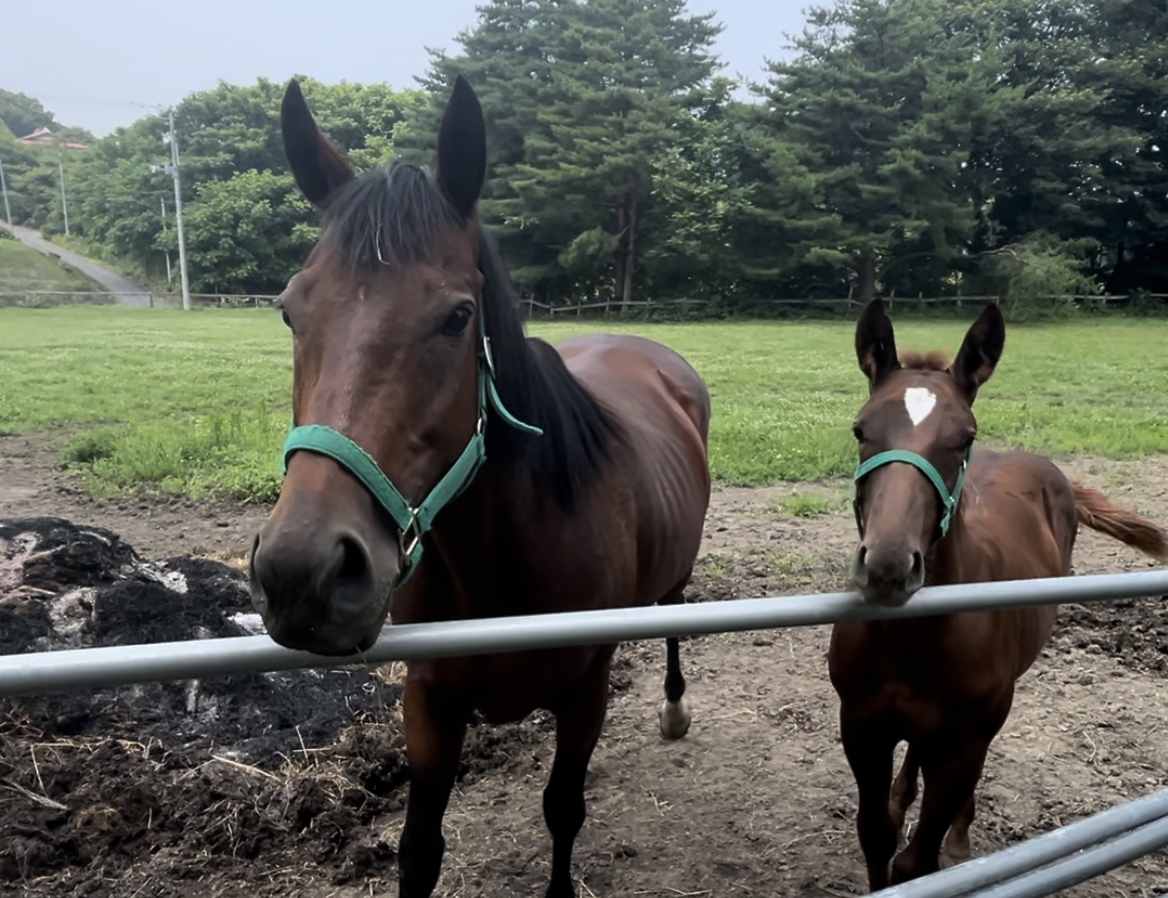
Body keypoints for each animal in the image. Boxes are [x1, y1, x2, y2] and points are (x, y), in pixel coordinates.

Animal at [248, 77, 710, 896]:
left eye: (458, 316)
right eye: (290, 310)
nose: (301, 574)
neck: (505, 559)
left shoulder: (586, 690)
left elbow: (563, 809)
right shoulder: (429, 701)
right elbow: (419, 849)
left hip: (673, 582)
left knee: (675, 618)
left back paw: (674, 710)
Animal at [831, 297, 1168, 887]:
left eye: (965, 436)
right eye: (859, 429)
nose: (889, 566)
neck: (911, 643)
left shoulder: (964, 743)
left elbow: (917, 861)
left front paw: (948, 840)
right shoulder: (862, 727)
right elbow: (877, 836)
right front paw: (892, 810)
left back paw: (960, 833)